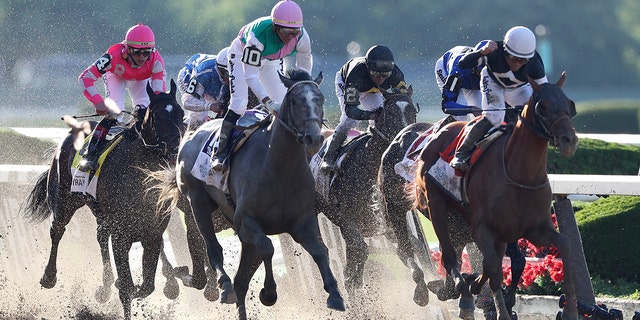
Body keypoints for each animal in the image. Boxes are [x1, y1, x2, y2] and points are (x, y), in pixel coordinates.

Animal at [18, 81, 201, 320]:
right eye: (157, 116)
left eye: (181, 114)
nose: (176, 147)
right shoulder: (121, 233)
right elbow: (126, 286)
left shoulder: (152, 231)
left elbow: (146, 285)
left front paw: (166, 284)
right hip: (64, 199)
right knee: (57, 231)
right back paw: (49, 276)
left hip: (100, 212)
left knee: (100, 236)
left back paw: (105, 286)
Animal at [156, 70, 344, 320]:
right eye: (295, 101)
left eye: (321, 99)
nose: (314, 139)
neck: (280, 169)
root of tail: (191, 134)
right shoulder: (246, 222)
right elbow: (268, 247)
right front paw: (269, 293)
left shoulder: (302, 223)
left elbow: (320, 252)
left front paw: (335, 294)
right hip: (198, 203)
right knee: (215, 251)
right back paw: (224, 286)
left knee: (241, 281)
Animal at [310, 87, 420, 302]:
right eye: (390, 112)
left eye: (412, 111)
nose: (406, 139)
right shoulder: (347, 220)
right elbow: (361, 252)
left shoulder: (385, 224)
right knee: (325, 249)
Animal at [412, 72, 584, 320]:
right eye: (542, 107)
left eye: (569, 104)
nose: (569, 140)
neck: (520, 175)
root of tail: (437, 134)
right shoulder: (482, 228)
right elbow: (493, 266)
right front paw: (499, 310)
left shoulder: (535, 228)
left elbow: (565, 245)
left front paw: (570, 310)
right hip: (437, 206)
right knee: (449, 254)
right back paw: (463, 293)